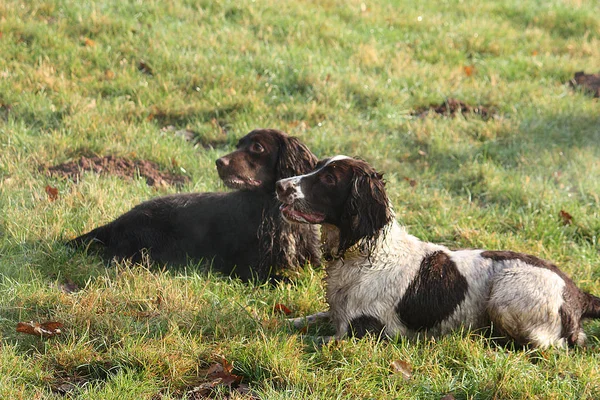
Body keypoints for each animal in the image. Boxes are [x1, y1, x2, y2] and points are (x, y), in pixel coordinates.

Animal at [69, 130, 322, 280]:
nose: (219, 162)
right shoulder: (248, 267)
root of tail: (115, 222)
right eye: (239, 144)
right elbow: (285, 279)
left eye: (257, 147)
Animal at [276, 155, 600, 346]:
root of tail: (578, 294)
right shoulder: (337, 315)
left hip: (506, 295)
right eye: (315, 167)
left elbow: (315, 340)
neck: (367, 255)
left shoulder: (367, 332)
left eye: (329, 178)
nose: (279, 185)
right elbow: (305, 320)